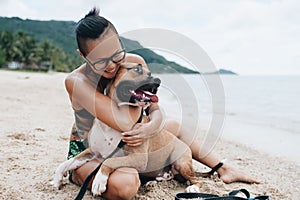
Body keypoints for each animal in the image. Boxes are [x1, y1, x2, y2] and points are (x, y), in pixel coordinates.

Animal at [52, 63, 202, 196]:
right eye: (137, 69)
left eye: (150, 73)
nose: (158, 81)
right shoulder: (92, 151)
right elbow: (69, 162)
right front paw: (57, 179)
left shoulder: (137, 158)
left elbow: (108, 161)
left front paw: (99, 180)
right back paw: (154, 182)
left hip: (181, 162)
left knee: (196, 179)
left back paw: (193, 188)